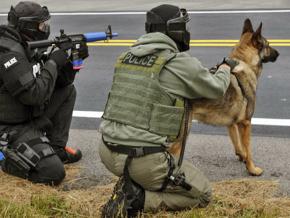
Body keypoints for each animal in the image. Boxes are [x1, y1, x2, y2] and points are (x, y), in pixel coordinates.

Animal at [170, 18, 278, 175]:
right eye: (268, 44)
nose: (278, 54)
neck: (244, 62)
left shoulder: (232, 124)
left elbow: (238, 144)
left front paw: (242, 157)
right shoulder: (246, 123)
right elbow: (248, 149)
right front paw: (252, 168)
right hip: (182, 136)